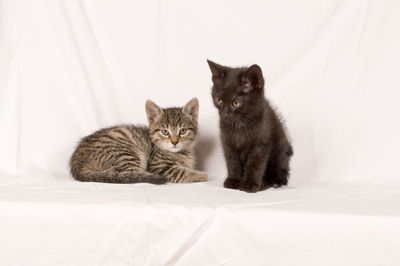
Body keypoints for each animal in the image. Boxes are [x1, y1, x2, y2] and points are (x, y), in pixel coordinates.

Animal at [69, 98, 208, 184]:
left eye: (183, 131)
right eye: (165, 132)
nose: (175, 142)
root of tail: (77, 165)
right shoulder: (158, 165)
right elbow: (180, 171)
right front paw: (201, 175)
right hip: (126, 151)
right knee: (129, 174)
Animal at [208, 59, 292, 193]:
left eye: (236, 103)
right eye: (219, 100)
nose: (224, 114)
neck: (240, 124)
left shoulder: (262, 144)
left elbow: (255, 164)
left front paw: (249, 184)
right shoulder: (228, 142)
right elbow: (232, 162)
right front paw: (233, 180)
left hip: (280, 153)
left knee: (277, 178)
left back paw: (264, 183)